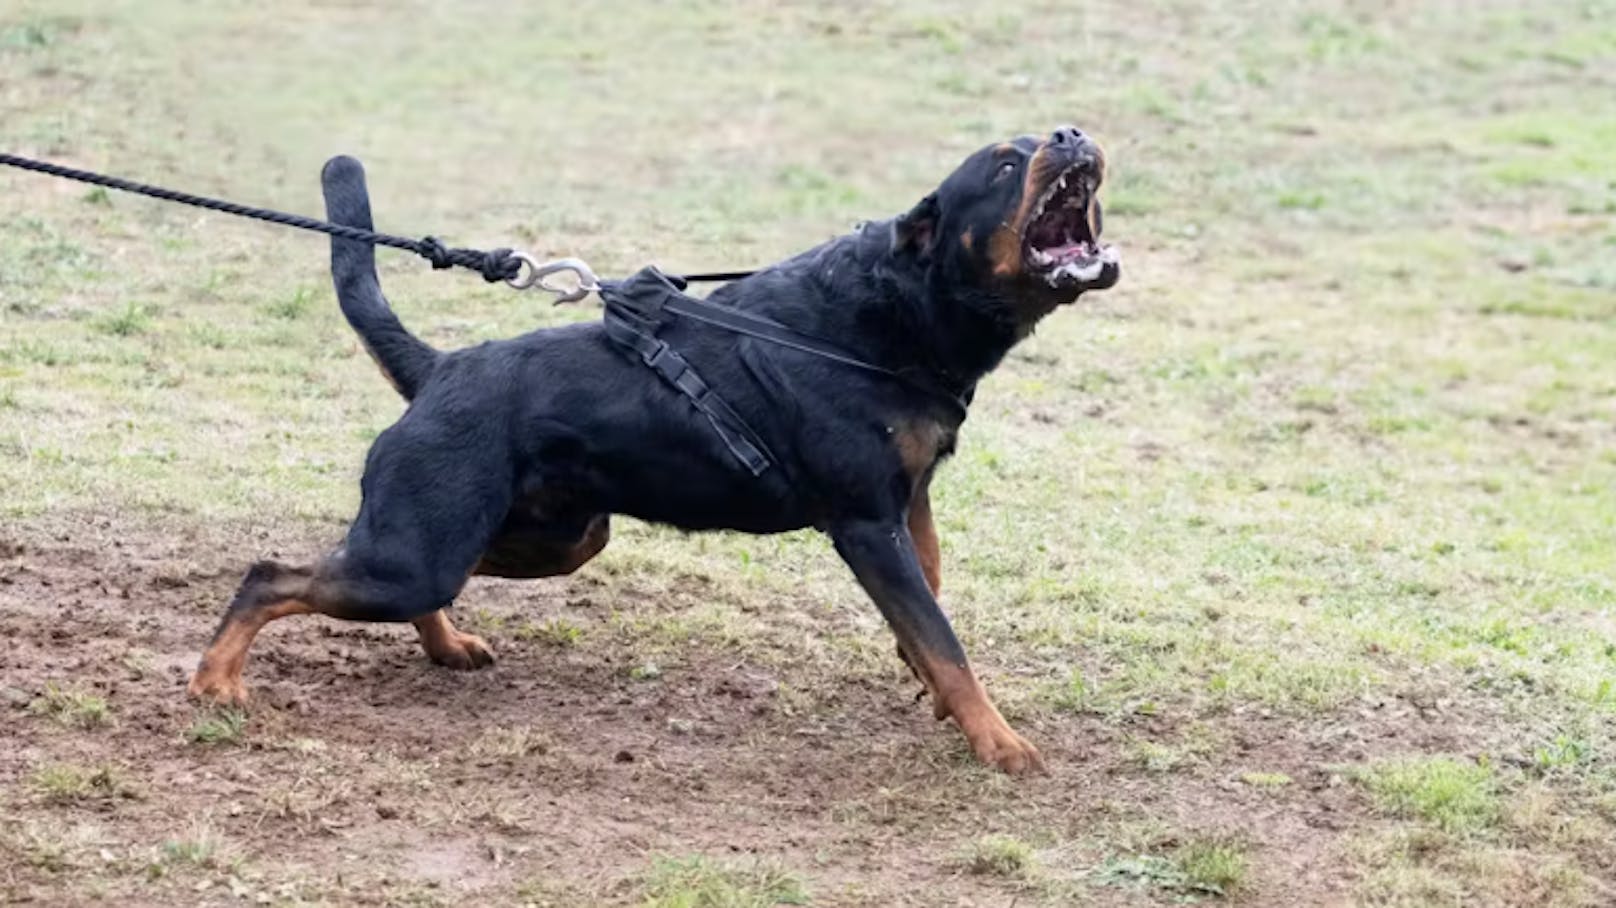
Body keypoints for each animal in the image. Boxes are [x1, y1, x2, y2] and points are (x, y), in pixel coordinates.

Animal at [189, 125, 1118, 769]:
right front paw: (999, 744)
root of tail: (441, 367)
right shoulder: (863, 521)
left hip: (546, 536)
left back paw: (447, 646)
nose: (1072, 134)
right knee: (271, 573)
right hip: (426, 550)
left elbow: (931, 600)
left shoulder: (908, 497)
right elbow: (943, 637)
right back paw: (215, 683)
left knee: (404, 579)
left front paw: (932, 692)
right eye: (1003, 165)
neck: (899, 312)